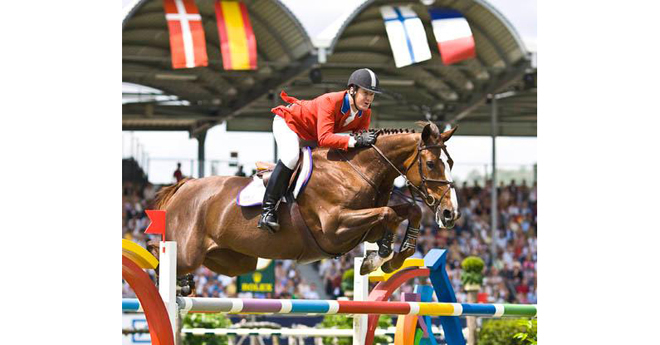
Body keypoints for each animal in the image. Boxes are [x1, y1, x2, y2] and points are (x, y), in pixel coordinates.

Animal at [149, 121, 458, 282]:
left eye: (451, 162)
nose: (450, 214)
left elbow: (409, 210)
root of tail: (185, 186)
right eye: (432, 164)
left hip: (233, 261)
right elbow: (389, 214)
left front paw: (396, 256)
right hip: (188, 253)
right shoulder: (335, 227)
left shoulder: (362, 228)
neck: (356, 170)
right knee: (162, 255)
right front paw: (379, 257)